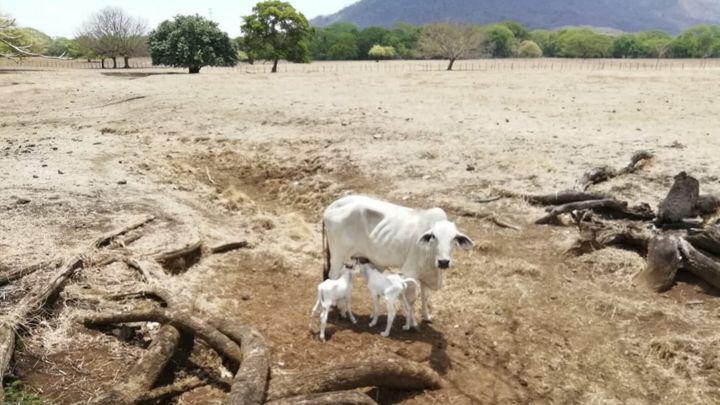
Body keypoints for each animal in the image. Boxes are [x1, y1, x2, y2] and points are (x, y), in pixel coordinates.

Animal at [324, 194, 476, 320]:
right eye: (433, 236)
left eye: (454, 239)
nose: (443, 262)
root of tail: (332, 206)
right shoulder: (410, 271)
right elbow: (411, 298)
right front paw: (410, 322)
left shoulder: (425, 274)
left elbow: (425, 296)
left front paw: (426, 316)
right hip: (338, 256)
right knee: (332, 276)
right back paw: (339, 308)